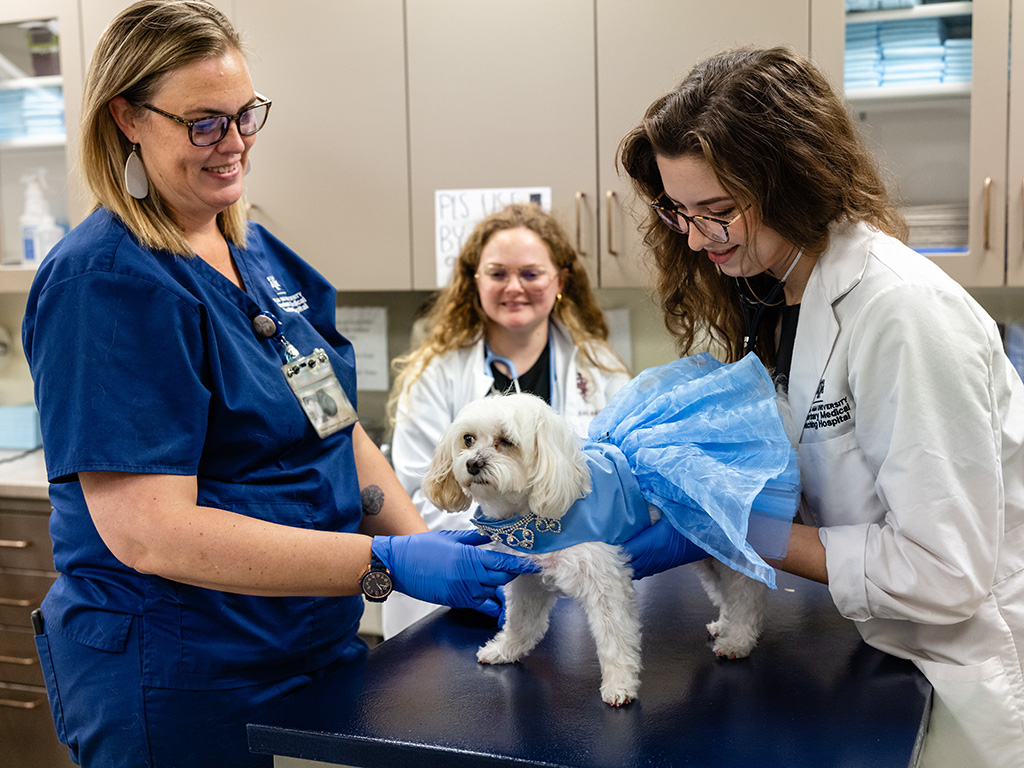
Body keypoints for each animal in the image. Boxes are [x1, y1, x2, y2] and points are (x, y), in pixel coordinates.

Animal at [419, 393, 765, 708]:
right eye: (468, 439)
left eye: (506, 441)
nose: (472, 463)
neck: (531, 512)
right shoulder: (529, 577)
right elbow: (521, 621)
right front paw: (505, 650)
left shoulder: (606, 584)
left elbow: (616, 639)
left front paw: (620, 685)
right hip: (703, 550)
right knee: (727, 593)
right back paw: (724, 625)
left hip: (728, 547)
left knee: (746, 595)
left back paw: (738, 640)